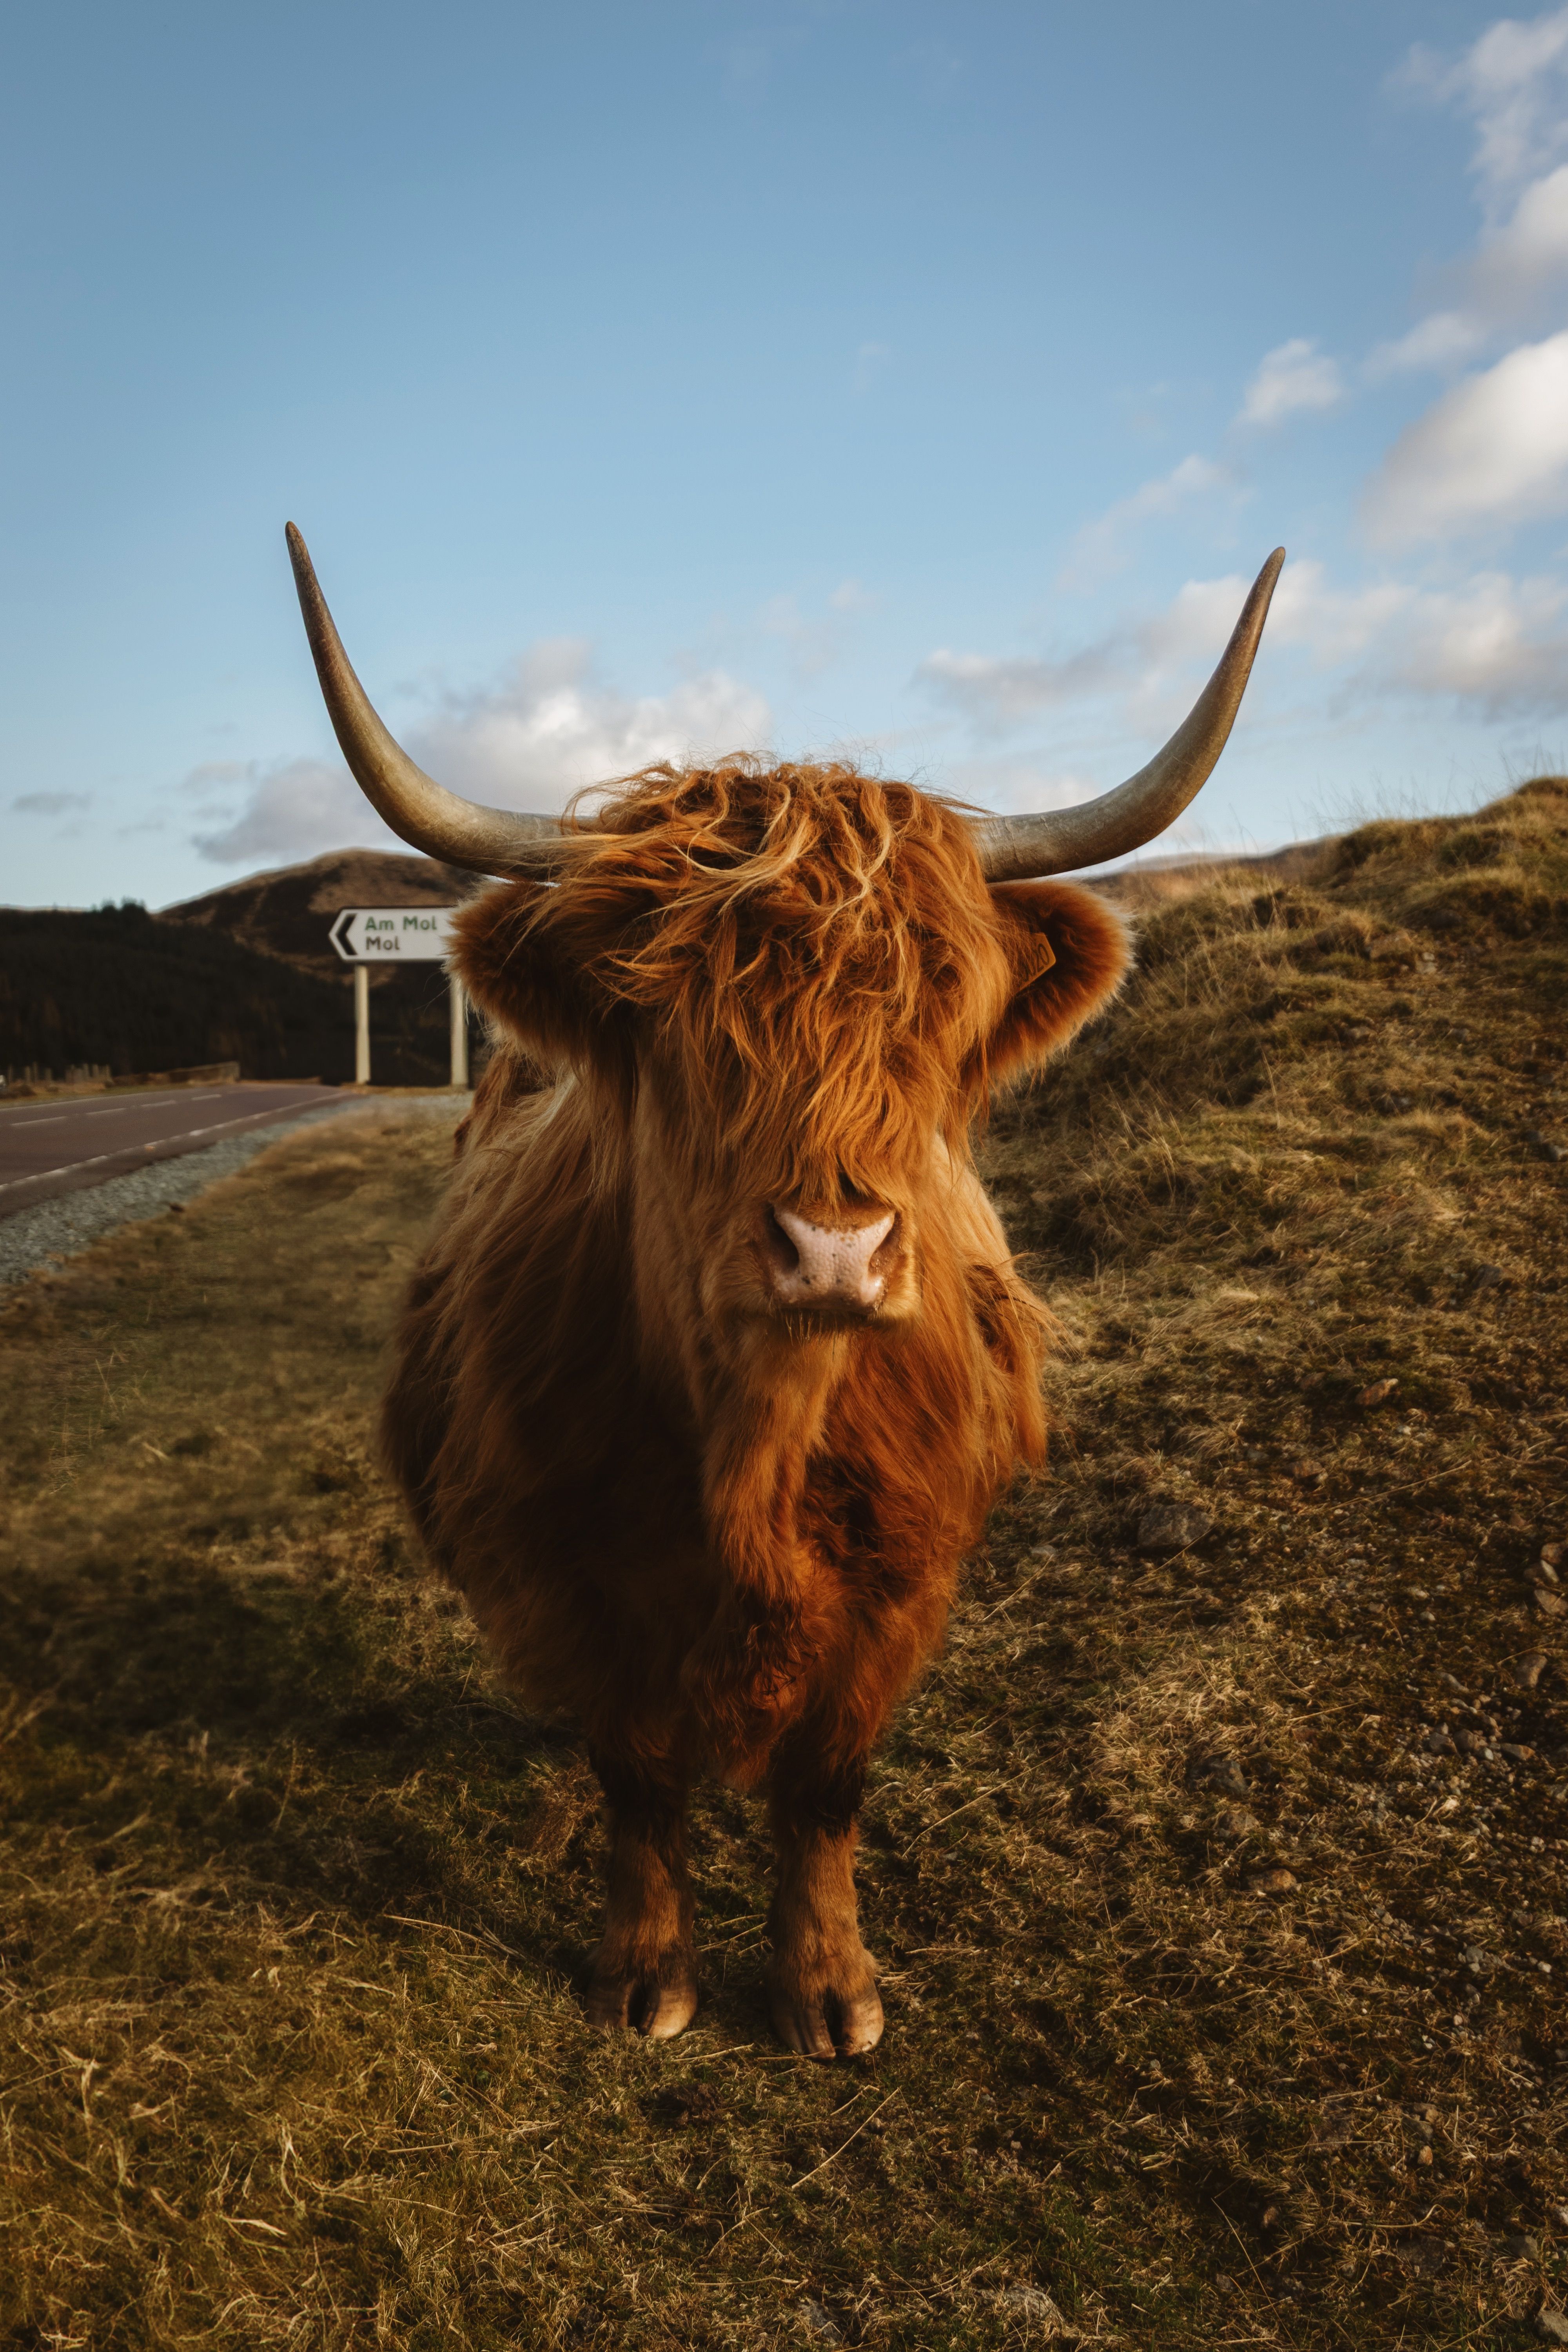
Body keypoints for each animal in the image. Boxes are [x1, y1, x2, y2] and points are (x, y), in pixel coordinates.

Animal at [286, 524, 1282, 2058]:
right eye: (672, 1020)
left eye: (932, 1012)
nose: (833, 1250)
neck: (759, 1434)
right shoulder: (576, 1580)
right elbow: (637, 1774)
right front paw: (647, 1975)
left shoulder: (902, 1584)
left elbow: (824, 1785)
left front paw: (829, 1988)